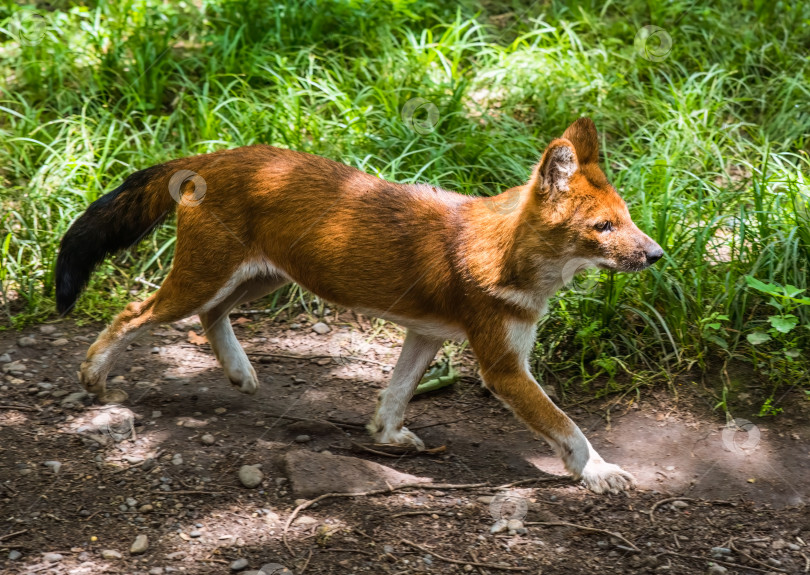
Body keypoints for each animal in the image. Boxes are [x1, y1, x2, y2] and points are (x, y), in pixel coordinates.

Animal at [58, 118, 664, 496]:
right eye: (603, 227)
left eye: (629, 218)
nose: (658, 254)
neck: (505, 252)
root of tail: (215, 153)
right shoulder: (504, 368)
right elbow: (566, 425)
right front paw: (600, 471)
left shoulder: (426, 334)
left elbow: (395, 393)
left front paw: (387, 437)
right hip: (203, 281)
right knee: (133, 314)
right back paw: (93, 376)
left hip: (258, 280)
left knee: (210, 318)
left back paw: (239, 372)